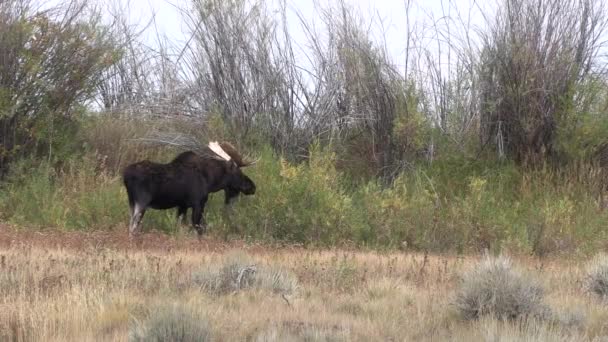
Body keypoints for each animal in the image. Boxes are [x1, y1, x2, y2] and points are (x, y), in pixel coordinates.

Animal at [122, 142, 255, 238]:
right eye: (238, 172)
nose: (252, 186)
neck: (210, 180)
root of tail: (125, 175)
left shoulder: (182, 206)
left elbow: (181, 227)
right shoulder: (198, 204)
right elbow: (199, 228)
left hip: (132, 202)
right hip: (142, 202)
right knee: (133, 226)